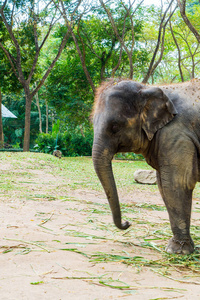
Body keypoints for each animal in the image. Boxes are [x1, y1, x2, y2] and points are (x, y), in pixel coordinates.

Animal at [92, 77, 200, 253]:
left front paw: (177, 251)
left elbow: (177, 184)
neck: (147, 88)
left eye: (115, 127)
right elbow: (163, 185)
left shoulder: (176, 136)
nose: (128, 223)